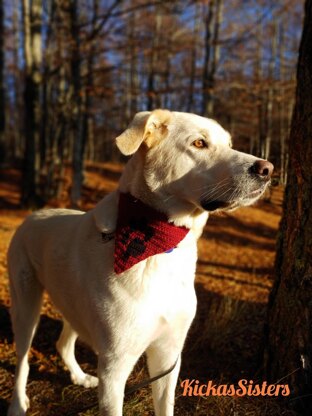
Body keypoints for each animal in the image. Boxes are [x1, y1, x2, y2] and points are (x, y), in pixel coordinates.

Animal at [6, 110, 272, 416]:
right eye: (199, 143)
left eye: (229, 144)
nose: (267, 169)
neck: (162, 247)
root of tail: (33, 214)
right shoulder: (115, 367)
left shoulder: (169, 356)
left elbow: (165, 407)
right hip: (26, 307)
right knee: (23, 359)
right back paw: (17, 403)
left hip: (74, 305)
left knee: (62, 344)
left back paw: (79, 376)